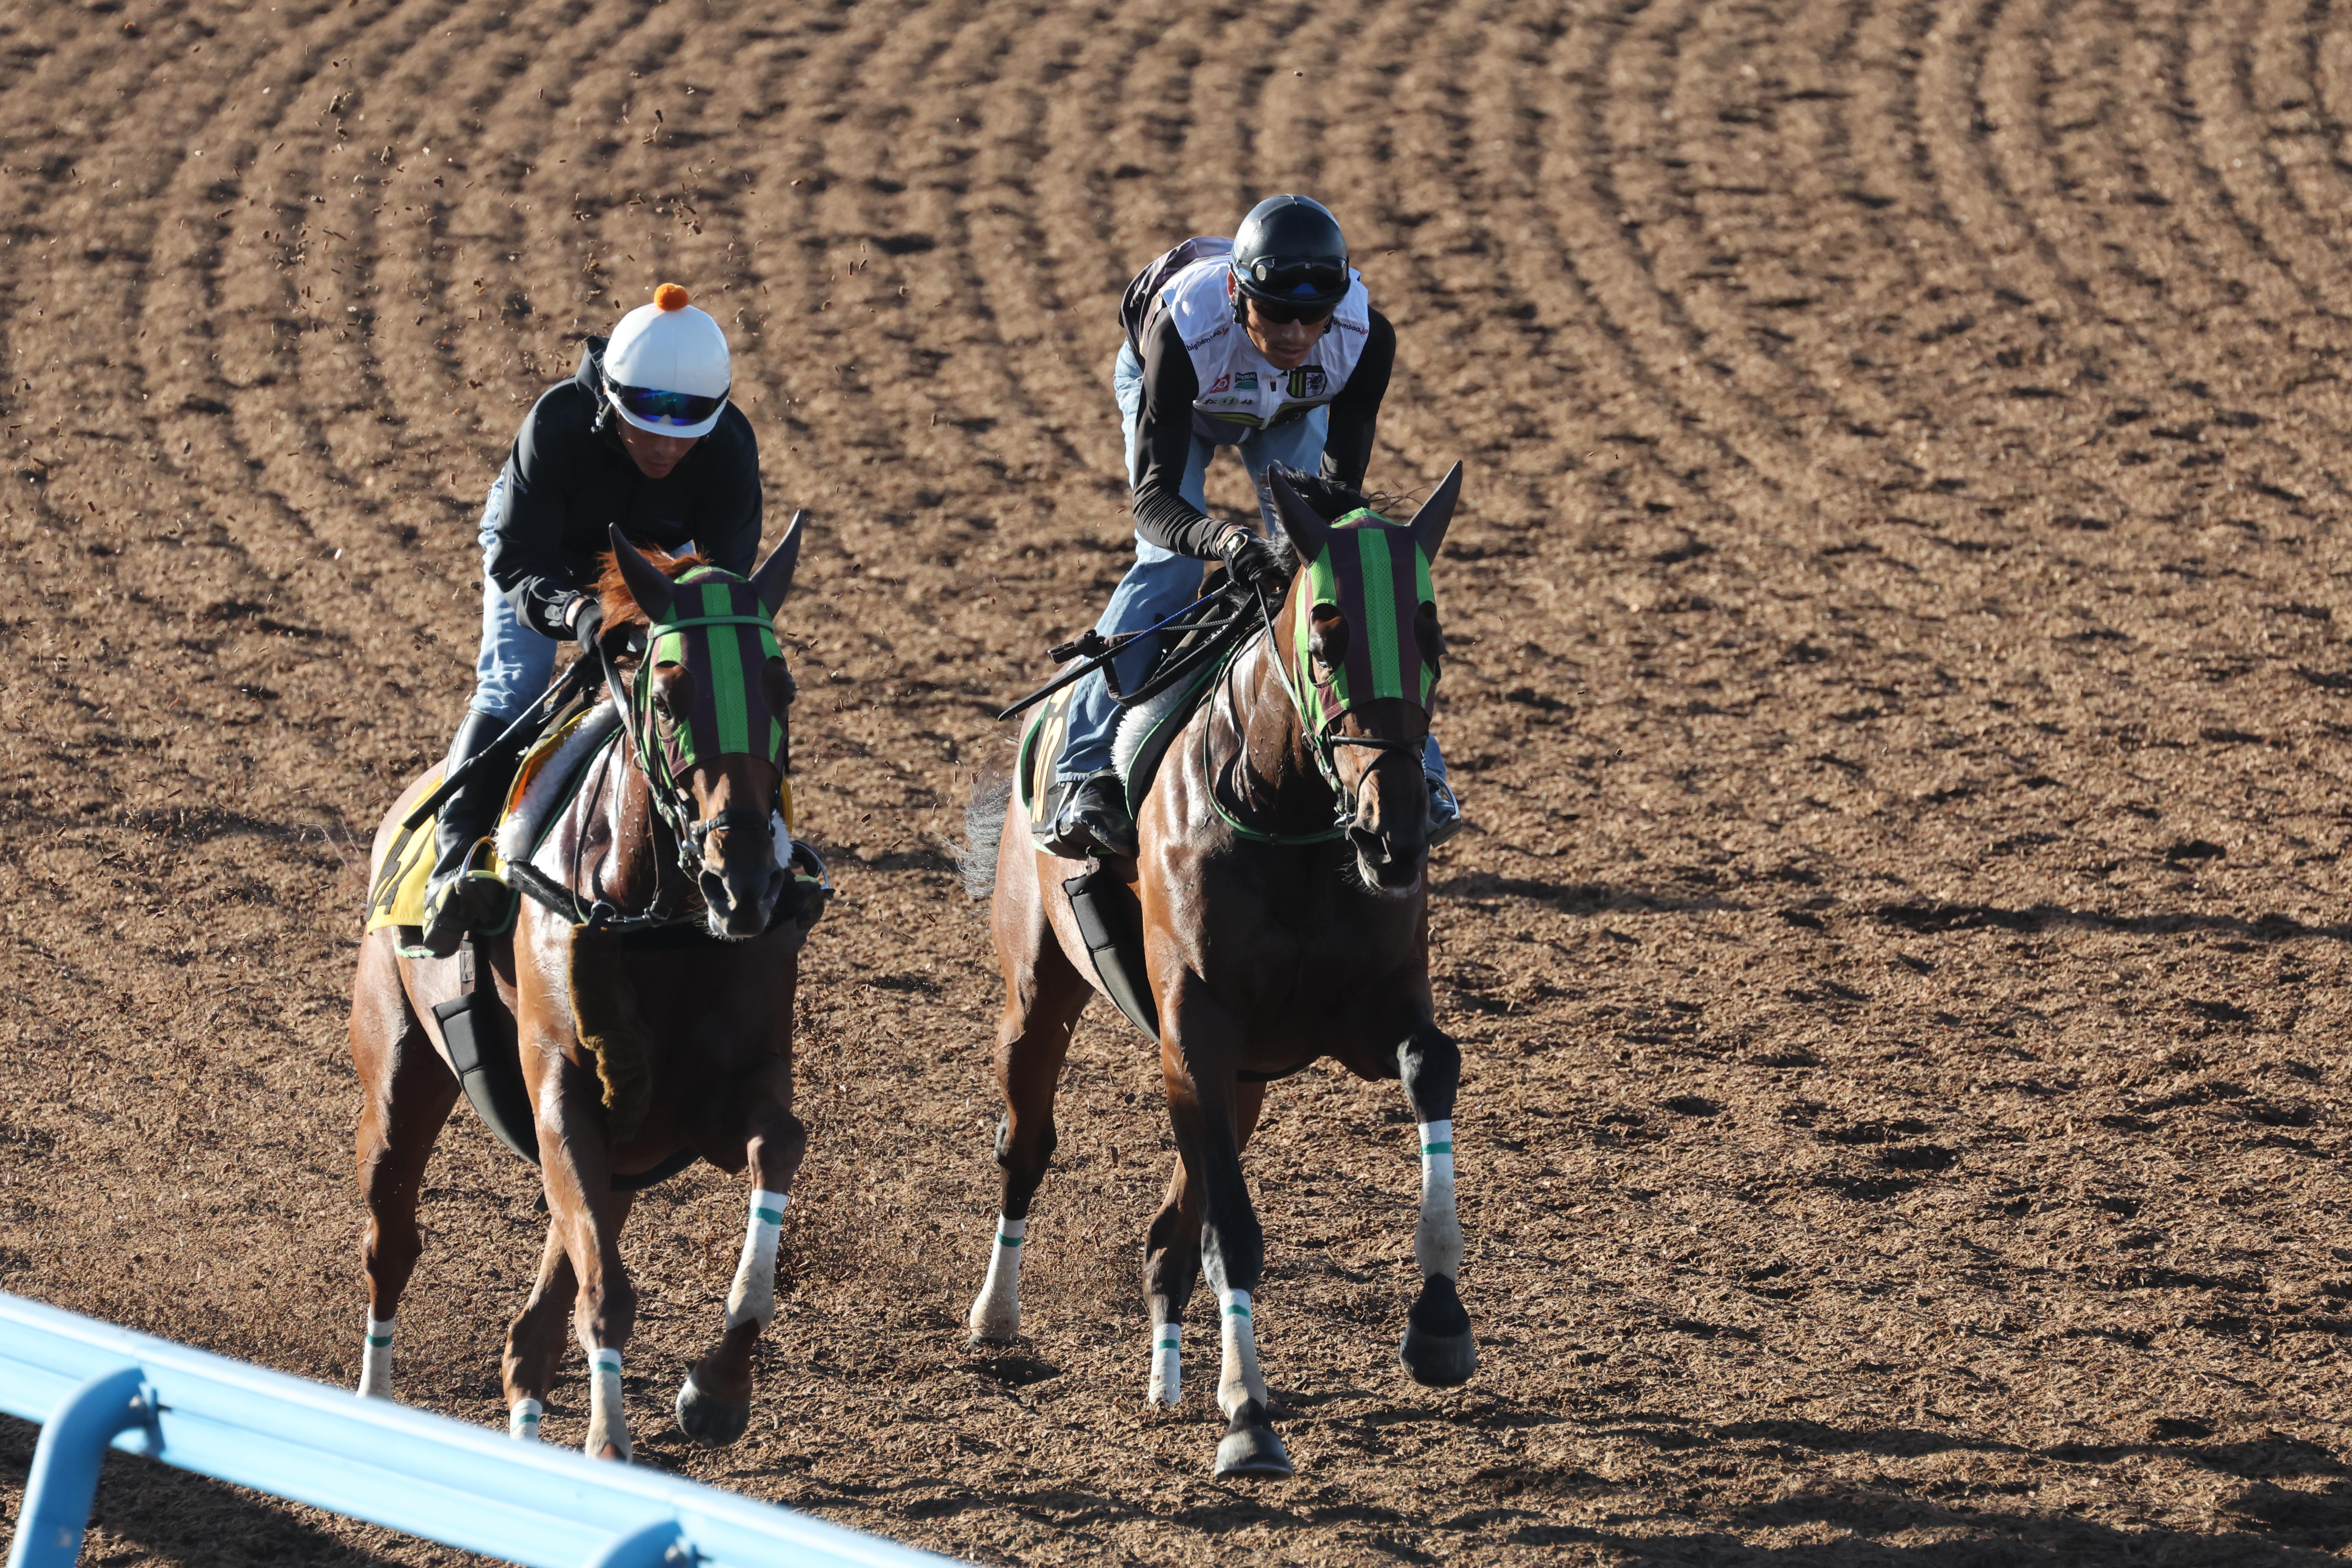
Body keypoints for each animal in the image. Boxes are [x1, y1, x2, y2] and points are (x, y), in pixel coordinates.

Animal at [348, 524, 818, 1457]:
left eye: (780, 686)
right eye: (669, 695)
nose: (744, 879)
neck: (662, 921)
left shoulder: (717, 1095)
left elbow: (779, 1144)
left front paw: (718, 1387)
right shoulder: (565, 1091)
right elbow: (606, 1294)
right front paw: (610, 1448)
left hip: (623, 1151)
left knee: (529, 1333)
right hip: (400, 1072)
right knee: (394, 1242)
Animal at [960, 461, 1468, 1476]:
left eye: (1430, 635)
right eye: (1325, 637)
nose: (1393, 834)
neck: (1286, 808)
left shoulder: (1368, 1007)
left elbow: (1435, 1063)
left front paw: (1440, 1324)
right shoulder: (1195, 1025)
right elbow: (1232, 1229)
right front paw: (1247, 1418)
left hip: (1241, 1080)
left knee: (1170, 1230)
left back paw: (1165, 1376)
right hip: (1041, 994)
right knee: (1027, 1144)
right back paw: (996, 1316)